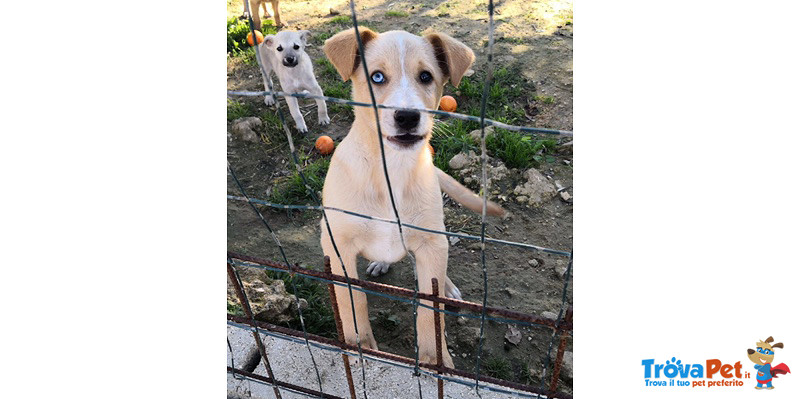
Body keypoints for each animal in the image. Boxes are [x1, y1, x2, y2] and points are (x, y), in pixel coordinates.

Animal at [320, 28, 504, 368]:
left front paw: (436, 361)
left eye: (426, 76)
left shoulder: (431, 242)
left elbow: (431, 308)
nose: (407, 117)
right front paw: (359, 345)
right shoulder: (337, 245)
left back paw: (447, 287)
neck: (392, 170)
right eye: (377, 77)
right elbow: (352, 299)